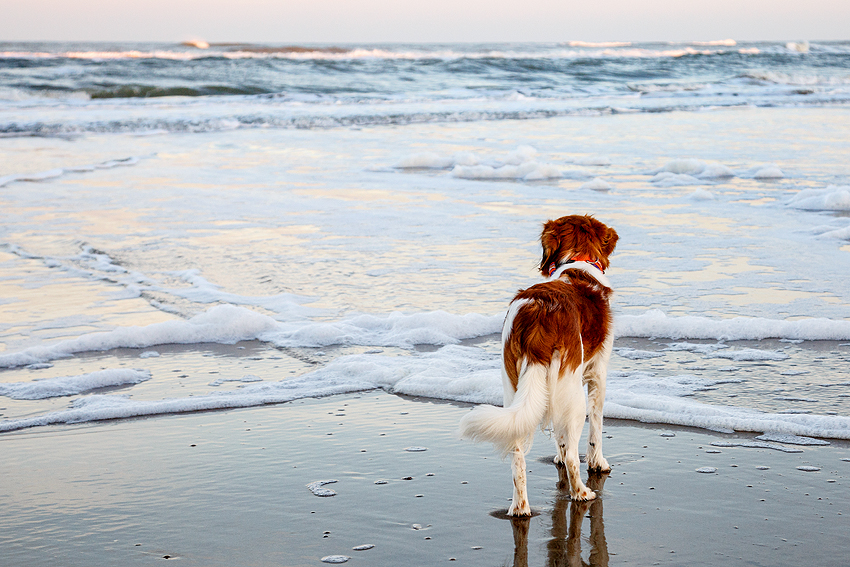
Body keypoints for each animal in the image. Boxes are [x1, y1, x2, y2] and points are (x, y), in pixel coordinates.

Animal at [460, 215, 620, 516]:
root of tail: (538, 311)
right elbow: (595, 427)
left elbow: (559, 434)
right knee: (573, 455)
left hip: (513, 387)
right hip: (572, 389)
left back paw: (520, 508)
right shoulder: (598, 374)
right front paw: (598, 463)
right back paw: (581, 493)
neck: (577, 261)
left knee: (517, 454)